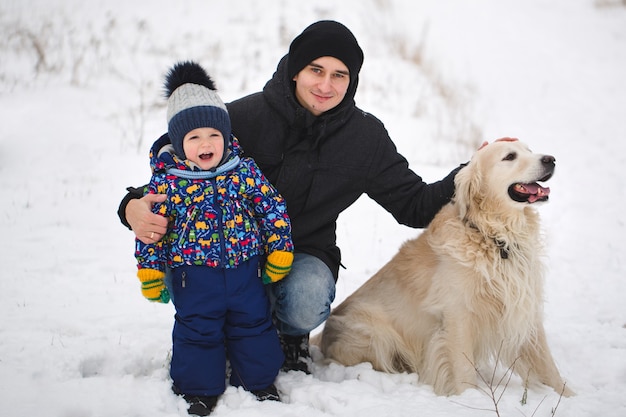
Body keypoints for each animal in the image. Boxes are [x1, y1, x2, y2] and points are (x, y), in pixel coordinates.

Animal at [316, 138, 572, 394]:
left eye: (530, 151)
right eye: (509, 156)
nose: (551, 159)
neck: (493, 236)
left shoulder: (523, 305)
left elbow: (547, 365)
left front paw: (566, 395)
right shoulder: (458, 314)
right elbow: (463, 368)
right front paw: (469, 397)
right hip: (377, 335)